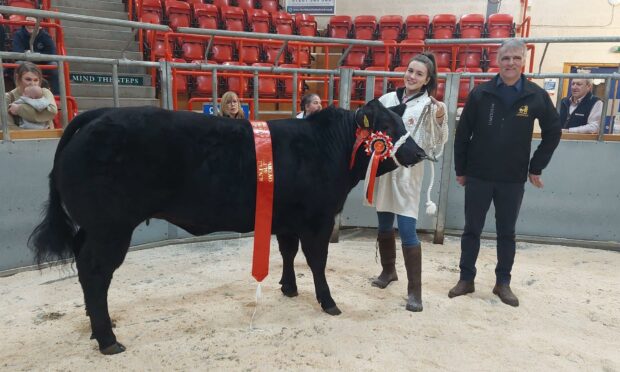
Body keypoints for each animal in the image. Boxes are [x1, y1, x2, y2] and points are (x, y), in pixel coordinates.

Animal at [29, 99, 426, 354]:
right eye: (386, 128)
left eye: (403, 125)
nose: (420, 153)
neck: (328, 146)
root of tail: (98, 115)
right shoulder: (318, 217)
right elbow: (316, 261)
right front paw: (328, 302)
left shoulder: (286, 217)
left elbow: (287, 252)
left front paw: (288, 288)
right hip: (110, 227)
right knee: (95, 272)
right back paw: (108, 339)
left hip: (93, 227)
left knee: (84, 266)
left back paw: (96, 329)